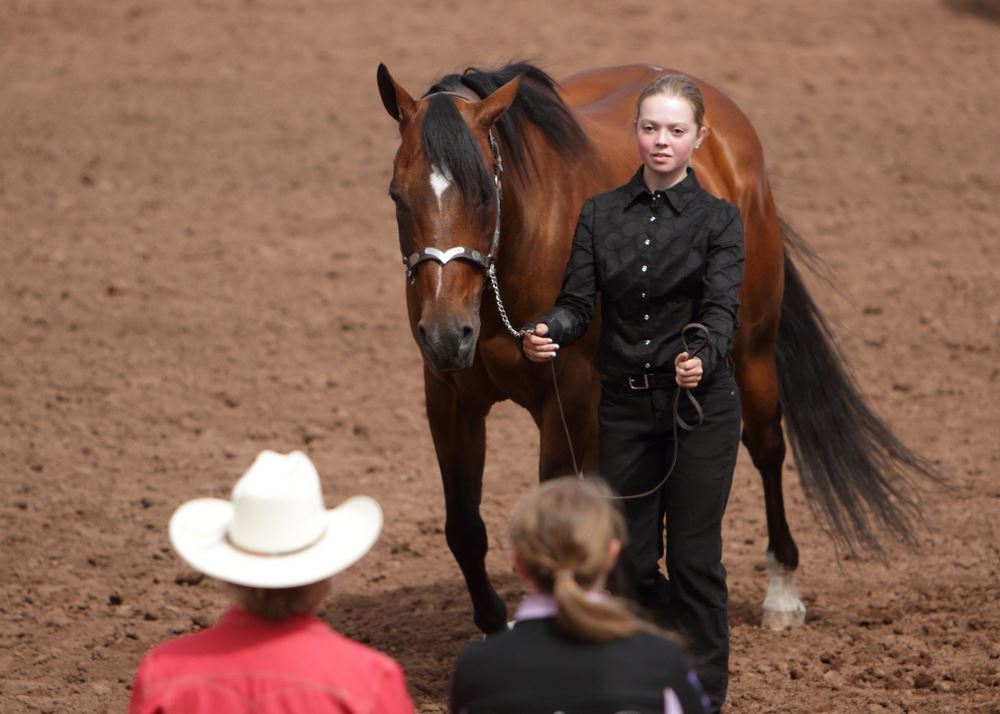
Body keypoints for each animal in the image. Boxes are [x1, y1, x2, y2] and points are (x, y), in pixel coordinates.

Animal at [375, 61, 938, 634]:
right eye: (397, 196)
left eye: (485, 195)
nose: (447, 335)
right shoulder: (449, 399)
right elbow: (464, 528)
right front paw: (495, 624)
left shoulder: (568, 396)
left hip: (752, 352)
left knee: (766, 447)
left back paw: (780, 593)